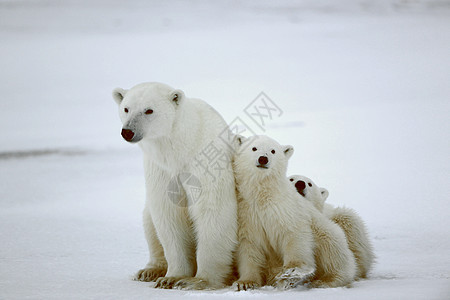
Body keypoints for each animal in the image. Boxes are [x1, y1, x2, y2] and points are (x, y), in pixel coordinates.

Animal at [112, 83, 237, 290]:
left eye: (149, 110)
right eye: (126, 108)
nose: (127, 131)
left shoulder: (206, 161)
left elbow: (213, 211)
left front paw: (197, 280)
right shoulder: (161, 169)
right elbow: (169, 215)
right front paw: (171, 278)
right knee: (149, 221)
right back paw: (149, 271)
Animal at [234, 137, 356, 290]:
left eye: (273, 151)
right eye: (254, 148)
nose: (263, 159)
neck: (263, 195)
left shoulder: (286, 208)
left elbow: (294, 234)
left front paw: (291, 272)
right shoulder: (247, 214)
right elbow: (249, 246)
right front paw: (245, 283)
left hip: (326, 231)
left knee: (332, 250)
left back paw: (325, 280)